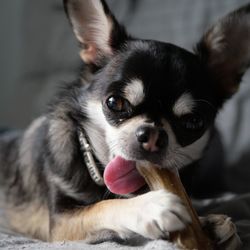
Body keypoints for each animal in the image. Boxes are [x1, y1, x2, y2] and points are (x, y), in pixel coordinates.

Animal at [0, 0, 248, 248]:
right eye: (115, 103)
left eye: (193, 121)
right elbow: (103, 206)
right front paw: (150, 207)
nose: (153, 135)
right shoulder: (61, 224)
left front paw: (208, 225)